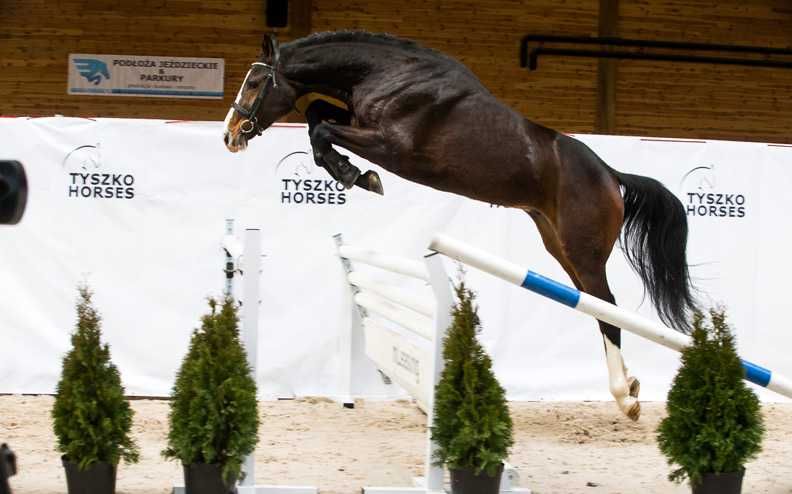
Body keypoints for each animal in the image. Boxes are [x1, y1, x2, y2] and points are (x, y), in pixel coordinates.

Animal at [221, 31, 692, 420]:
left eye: (255, 82)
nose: (230, 134)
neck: (390, 75)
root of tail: (610, 175)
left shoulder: (391, 145)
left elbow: (321, 131)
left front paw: (359, 175)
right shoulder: (356, 120)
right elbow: (319, 115)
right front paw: (352, 172)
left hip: (583, 250)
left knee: (607, 309)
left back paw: (625, 398)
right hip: (559, 246)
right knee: (599, 307)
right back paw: (630, 385)